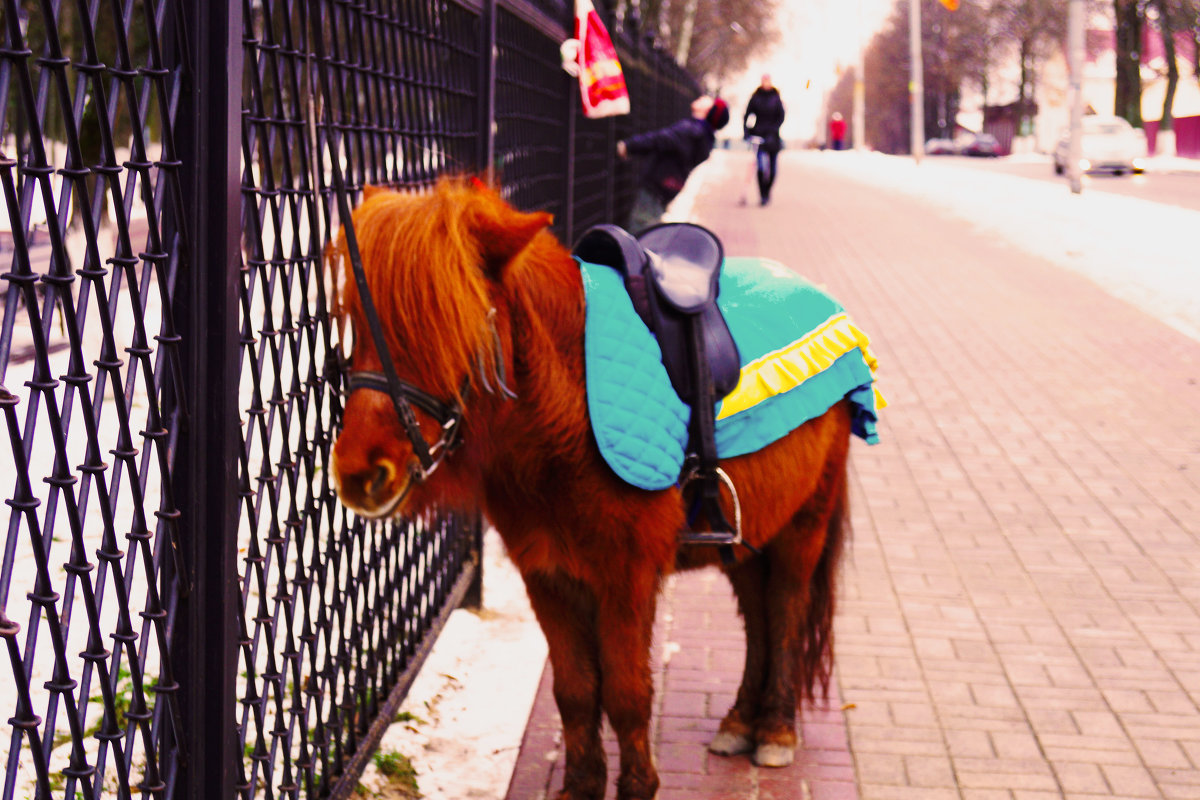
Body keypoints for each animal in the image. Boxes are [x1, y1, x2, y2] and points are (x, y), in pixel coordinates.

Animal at [331, 179, 854, 800]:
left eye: (442, 323)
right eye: (354, 322)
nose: (359, 474)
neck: (564, 416)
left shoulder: (626, 577)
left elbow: (627, 696)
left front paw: (635, 786)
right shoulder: (548, 574)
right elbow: (576, 690)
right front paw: (582, 785)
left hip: (804, 525)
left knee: (786, 609)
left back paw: (775, 729)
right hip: (748, 537)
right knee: (757, 615)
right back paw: (740, 721)